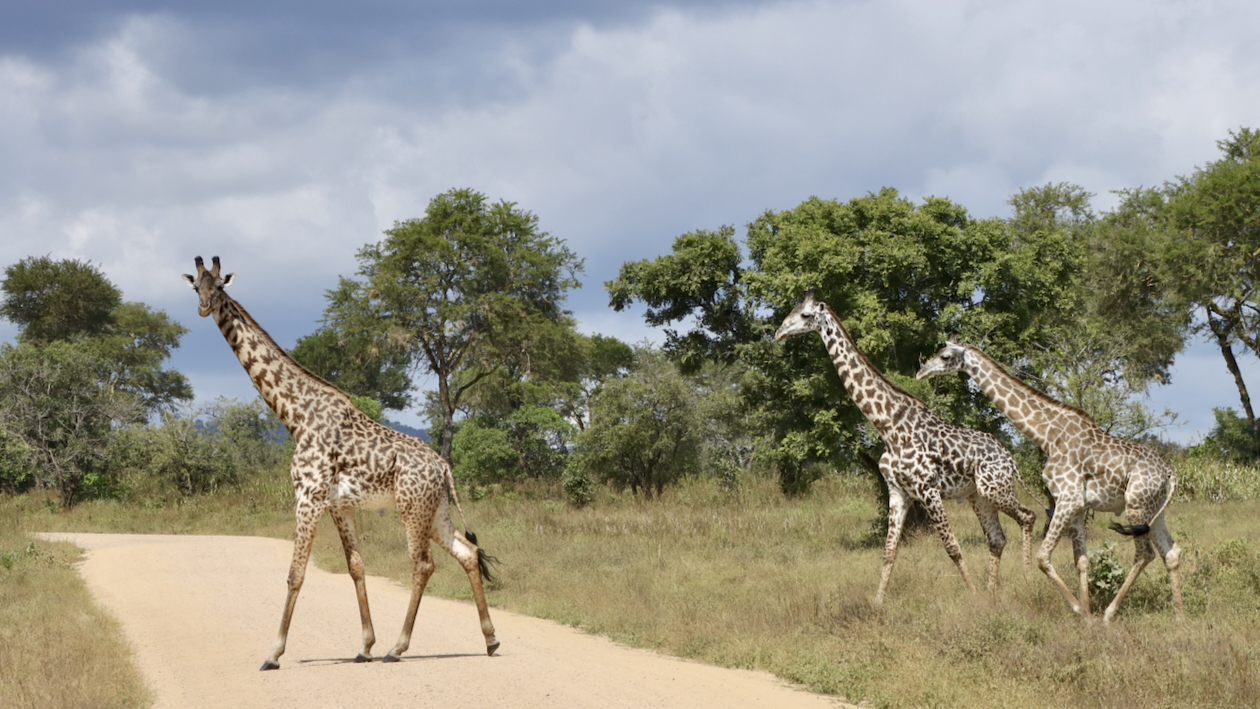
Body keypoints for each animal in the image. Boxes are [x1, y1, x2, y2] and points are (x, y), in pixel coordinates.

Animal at [183, 256, 498, 669]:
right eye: (196, 287)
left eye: (220, 287)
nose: (204, 307)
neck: (295, 416)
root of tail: (442, 465)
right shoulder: (339, 504)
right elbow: (356, 567)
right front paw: (364, 646)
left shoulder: (308, 496)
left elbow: (295, 573)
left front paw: (274, 653)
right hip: (436, 509)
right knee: (467, 552)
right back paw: (490, 640)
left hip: (411, 506)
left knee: (423, 564)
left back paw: (398, 648)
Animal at [771, 290, 1038, 606]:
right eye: (792, 311)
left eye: (805, 315)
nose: (778, 332)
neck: (888, 425)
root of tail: (1011, 459)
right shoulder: (898, 492)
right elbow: (889, 552)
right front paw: (877, 603)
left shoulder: (928, 488)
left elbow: (952, 546)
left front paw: (971, 595)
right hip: (978, 495)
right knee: (997, 539)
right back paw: (991, 594)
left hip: (994, 489)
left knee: (1028, 516)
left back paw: (1026, 580)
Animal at [917, 337, 1179, 622]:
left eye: (944, 356)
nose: (921, 372)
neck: (1048, 435)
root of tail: (1169, 471)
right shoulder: (1076, 506)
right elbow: (1082, 560)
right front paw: (1087, 613)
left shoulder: (1068, 499)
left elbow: (1044, 558)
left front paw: (1082, 613)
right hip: (1155, 509)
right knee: (1171, 552)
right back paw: (1181, 617)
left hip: (1136, 506)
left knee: (1145, 554)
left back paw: (1109, 614)